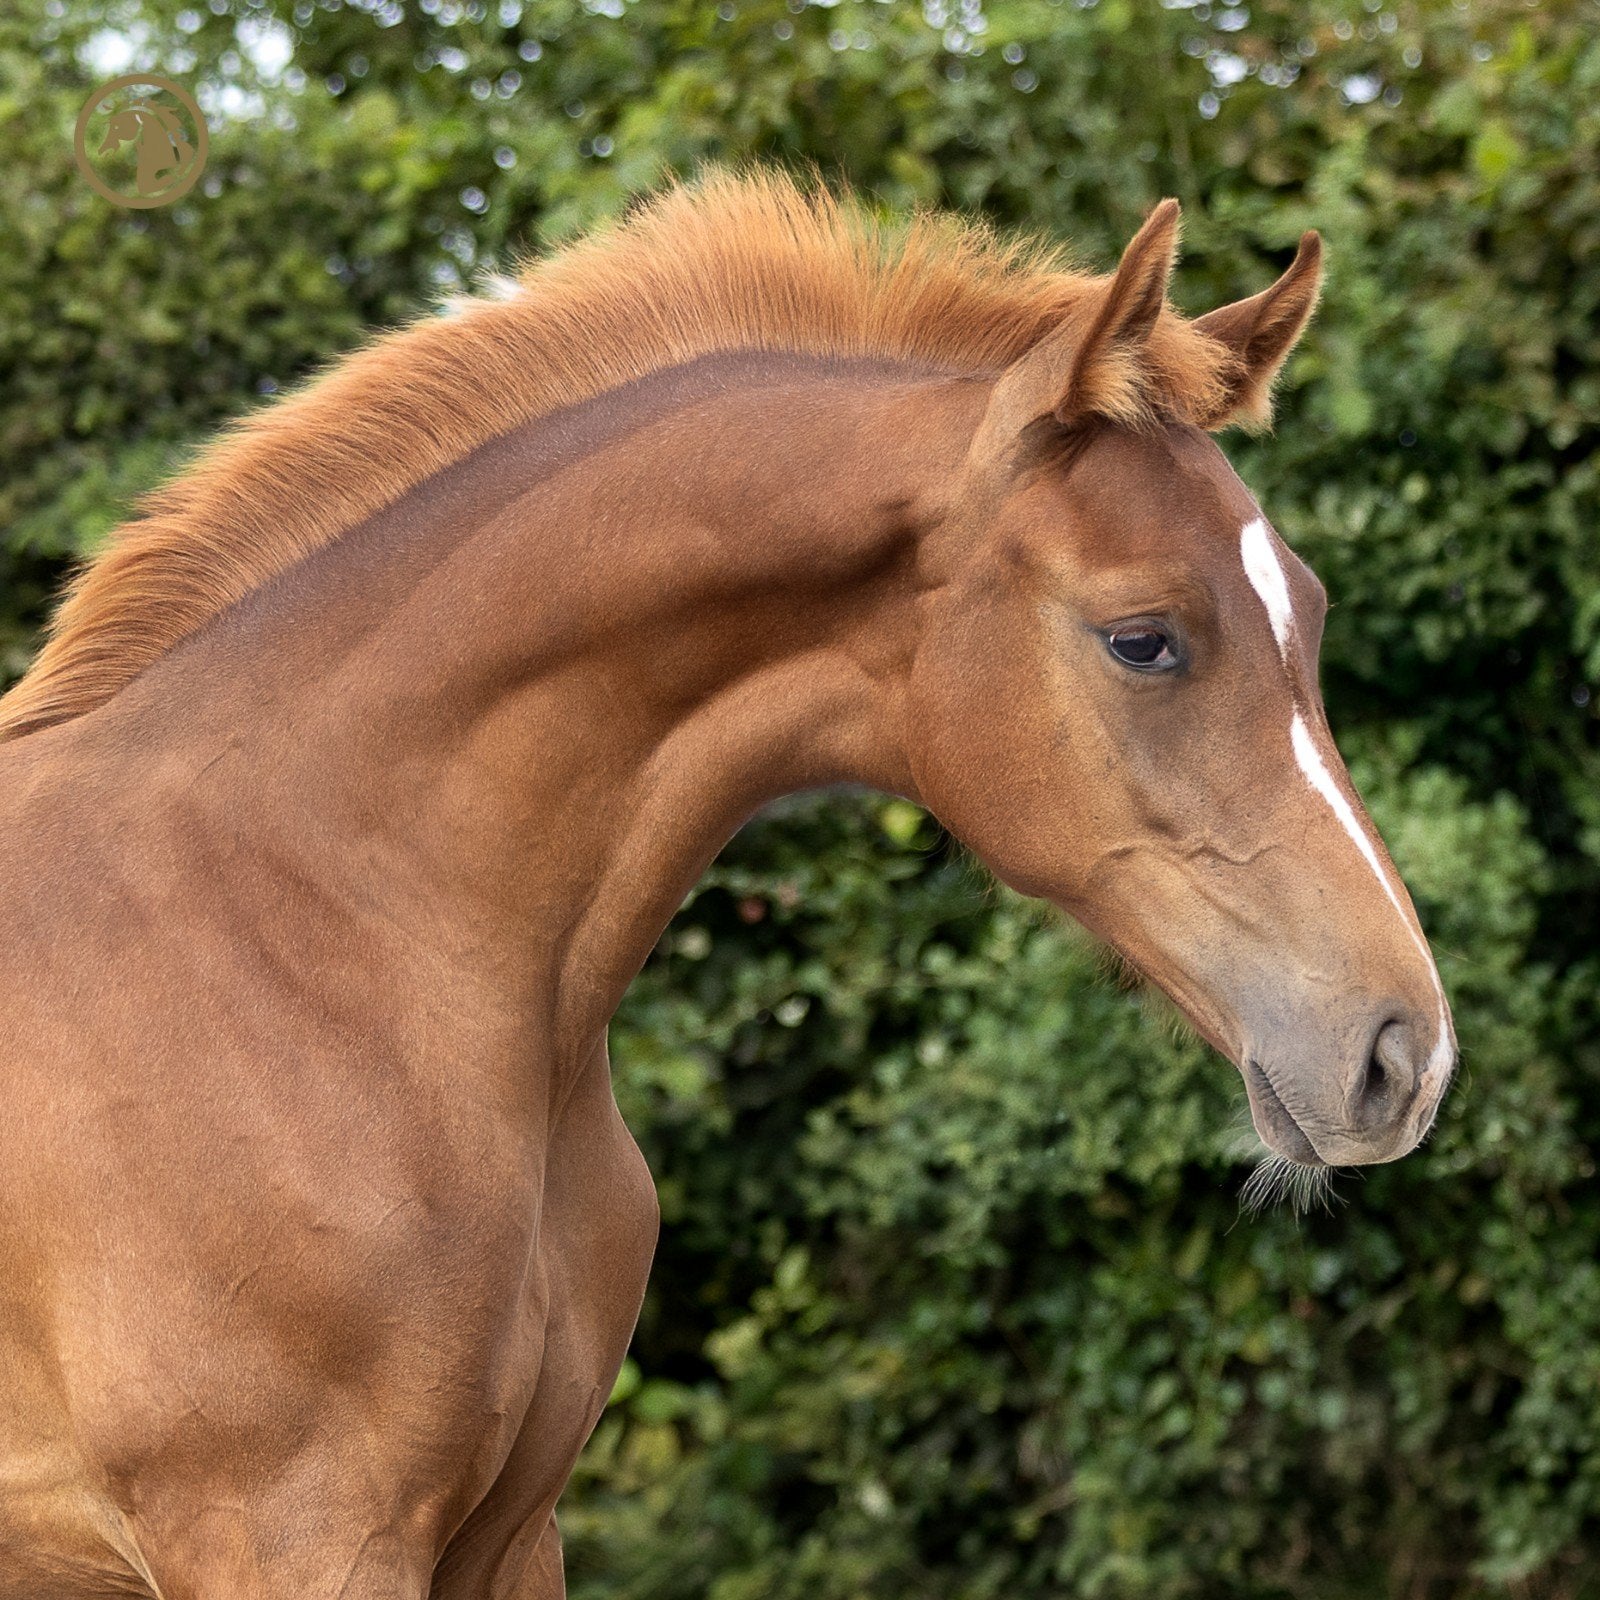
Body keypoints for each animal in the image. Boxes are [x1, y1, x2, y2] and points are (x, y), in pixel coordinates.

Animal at [0, 169, 1455, 1597]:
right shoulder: (294, 1532)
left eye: (1311, 615)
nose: (1405, 1054)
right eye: (1143, 639)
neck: (301, 927)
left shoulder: (511, 1534)